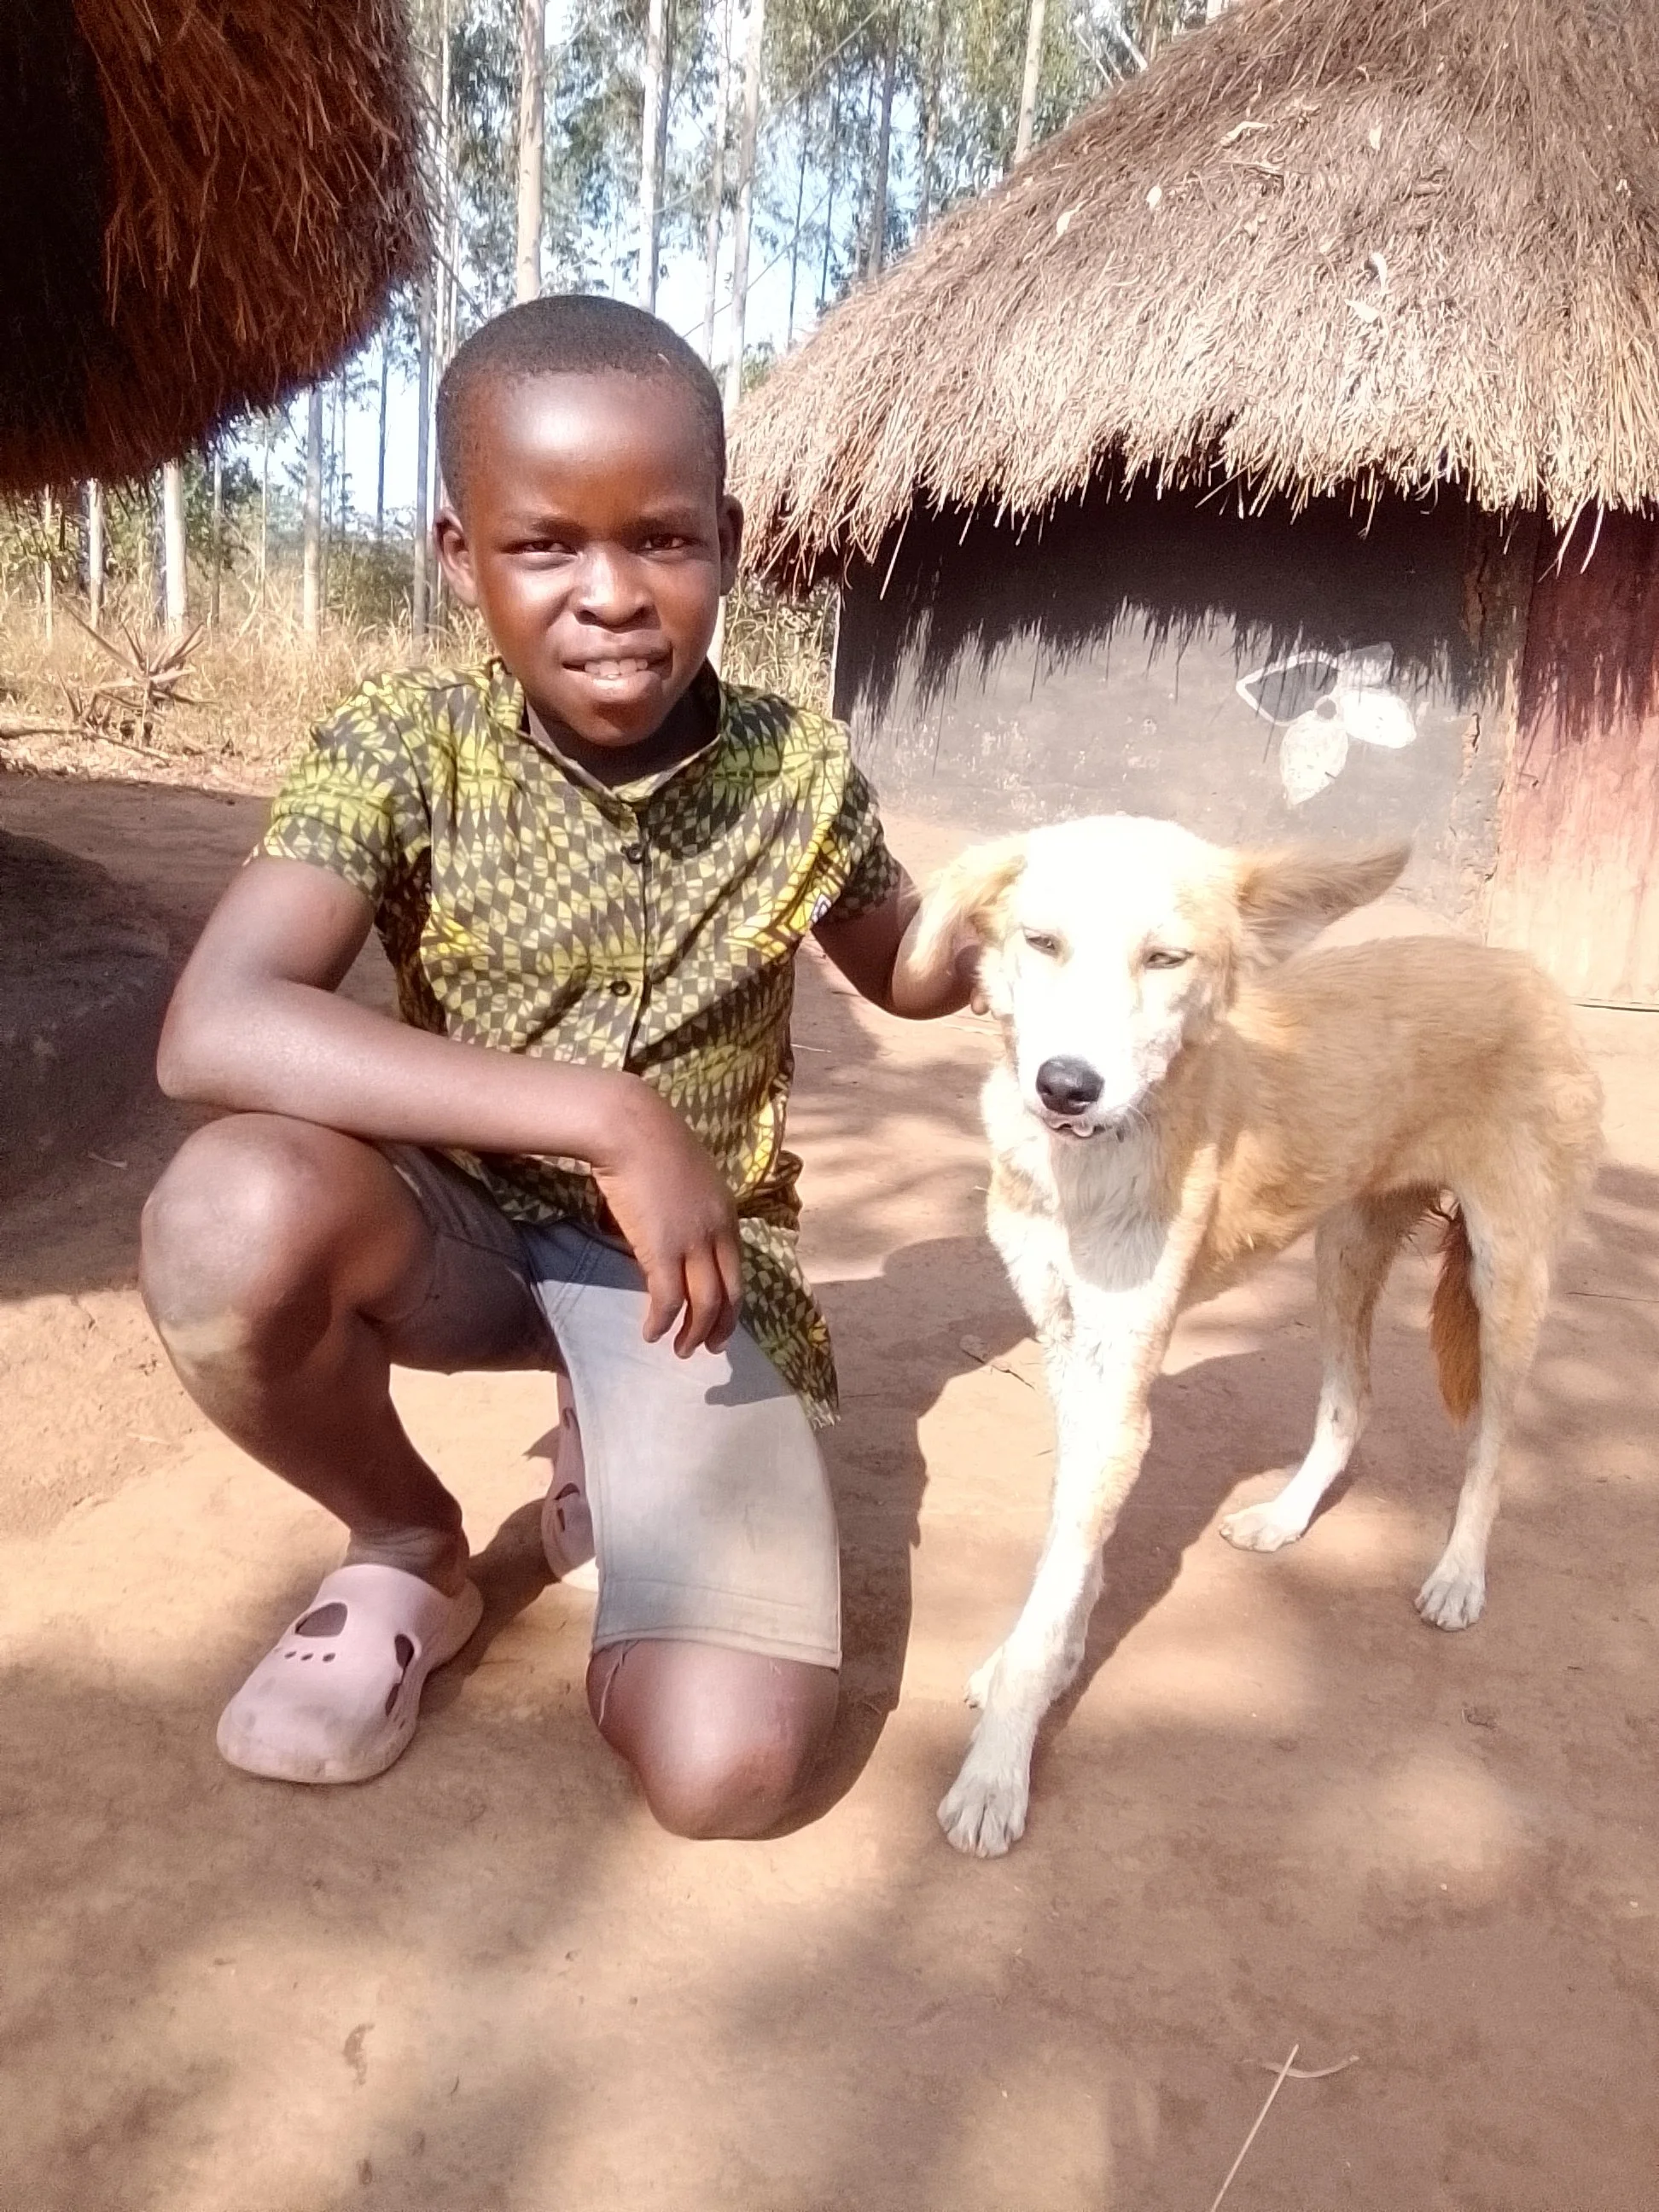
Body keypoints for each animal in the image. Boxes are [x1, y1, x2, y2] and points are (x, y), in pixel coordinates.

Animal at [906, 816, 1603, 1857]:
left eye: (1165, 958)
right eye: (1043, 942)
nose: (1067, 1087)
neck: (1089, 1167)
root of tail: (1528, 970)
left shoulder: (1121, 1379)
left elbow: (1063, 1571)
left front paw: (997, 1772)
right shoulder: (1073, 1351)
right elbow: (1071, 1553)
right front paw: (1042, 1662)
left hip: (1506, 1276)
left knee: (1492, 1443)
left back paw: (1457, 1576)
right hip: (1345, 1250)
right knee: (1353, 1402)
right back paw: (1286, 1517)